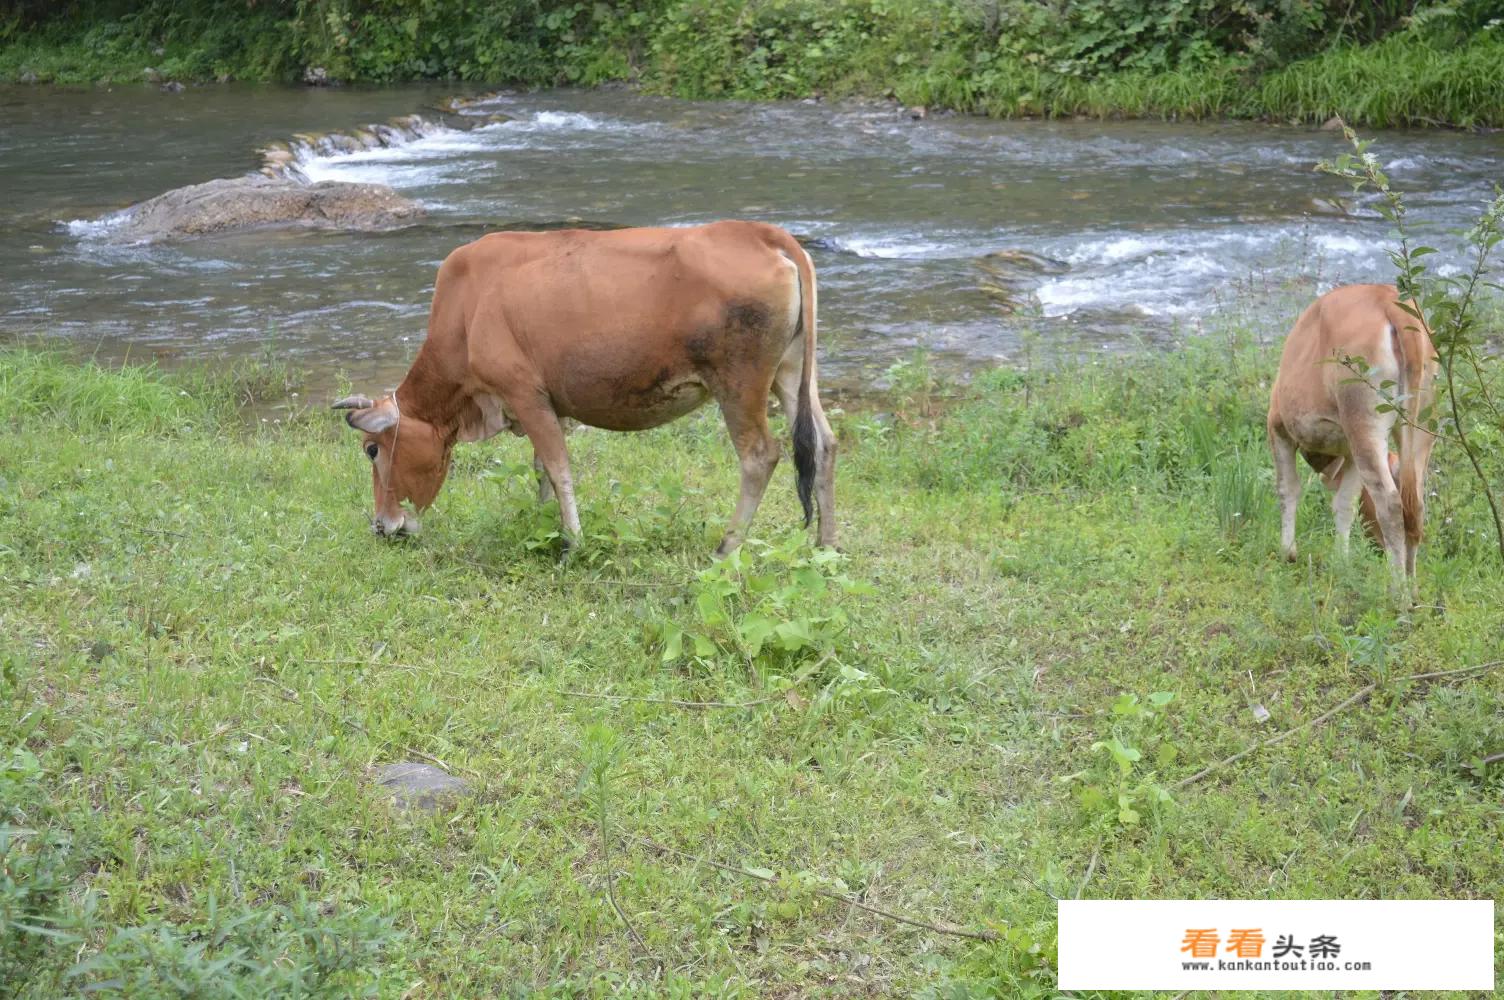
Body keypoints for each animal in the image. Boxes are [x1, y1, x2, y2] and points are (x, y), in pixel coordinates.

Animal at [333, 219, 842, 556]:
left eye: (371, 449)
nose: (382, 525)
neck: (465, 313)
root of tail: (760, 232)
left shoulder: (524, 393)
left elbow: (560, 469)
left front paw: (573, 543)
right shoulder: (549, 403)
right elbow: (542, 470)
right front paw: (544, 525)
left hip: (739, 381)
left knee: (760, 455)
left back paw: (726, 549)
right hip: (792, 372)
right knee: (824, 442)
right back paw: (828, 546)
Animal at [1263, 281, 1437, 580]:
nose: (1378, 549)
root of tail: (1386, 296)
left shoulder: (1278, 426)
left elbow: (1288, 488)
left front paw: (1288, 553)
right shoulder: (1350, 453)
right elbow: (1345, 503)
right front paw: (1341, 563)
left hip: (1363, 422)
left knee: (1391, 503)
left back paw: (1398, 589)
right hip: (1420, 428)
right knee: (1415, 504)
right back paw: (1411, 584)